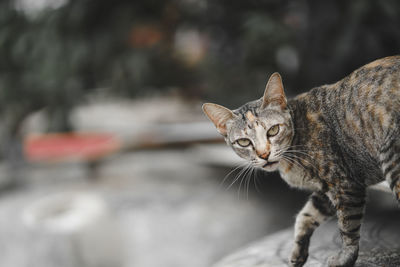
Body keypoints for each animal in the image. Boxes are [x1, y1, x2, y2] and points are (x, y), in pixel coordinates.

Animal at [202, 55, 400, 266]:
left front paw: (345, 256)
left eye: (273, 130)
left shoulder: (345, 184)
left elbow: (348, 226)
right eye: (244, 142)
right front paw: (298, 252)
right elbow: (305, 216)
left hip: (391, 158)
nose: (264, 154)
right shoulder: (327, 190)